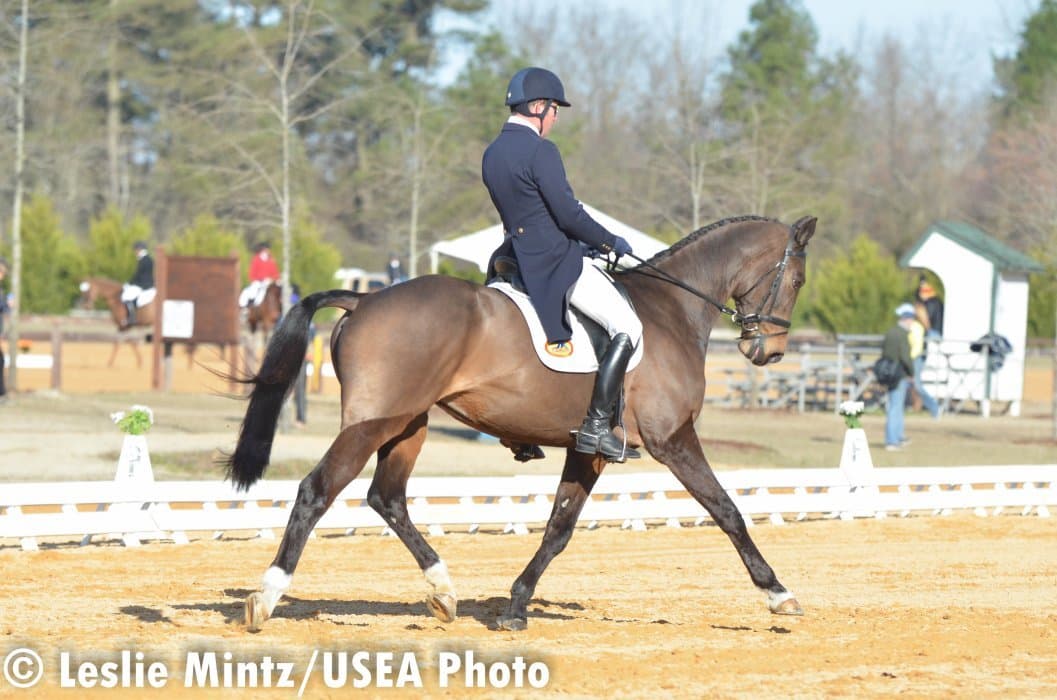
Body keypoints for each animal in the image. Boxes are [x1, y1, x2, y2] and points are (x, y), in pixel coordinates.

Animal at [227, 214, 817, 632]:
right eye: (797, 279)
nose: (768, 352)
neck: (671, 310)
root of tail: (363, 298)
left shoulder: (589, 447)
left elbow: (559, 527)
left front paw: (515, 605)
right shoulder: (673, 439)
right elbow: (727, 510)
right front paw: (778, 594)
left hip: (408, 425)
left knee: (387, 498)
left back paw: (443, 592)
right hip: (372, 423)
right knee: (317, 490)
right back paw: (267, 597)